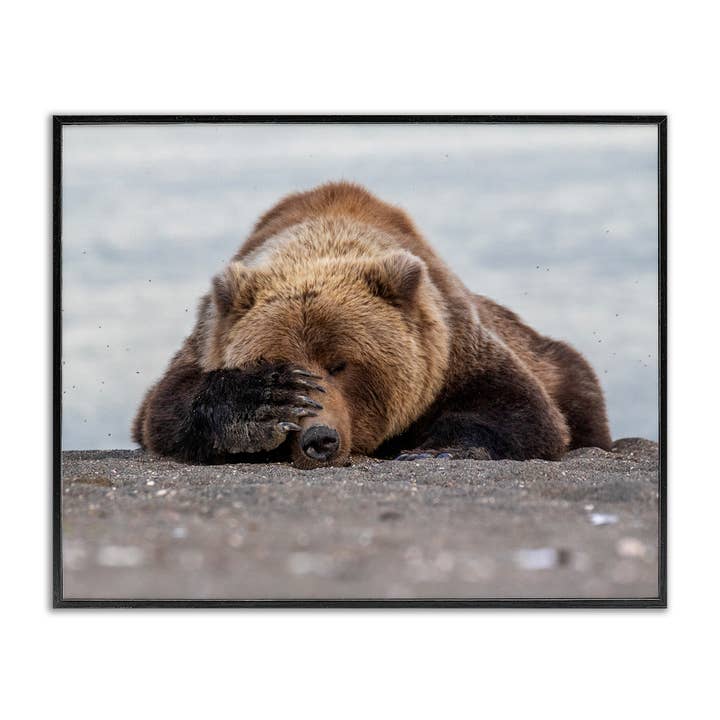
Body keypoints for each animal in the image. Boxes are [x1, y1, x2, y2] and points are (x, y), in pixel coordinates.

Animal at [132, 181, 612, 468]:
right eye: (279, 362)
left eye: (341, 364)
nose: (319, 439)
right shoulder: (207, 338)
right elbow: (165, 408)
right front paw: (262, 403)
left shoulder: (452, 346)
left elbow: (521, 411)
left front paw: (435, 450)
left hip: (555, 362)